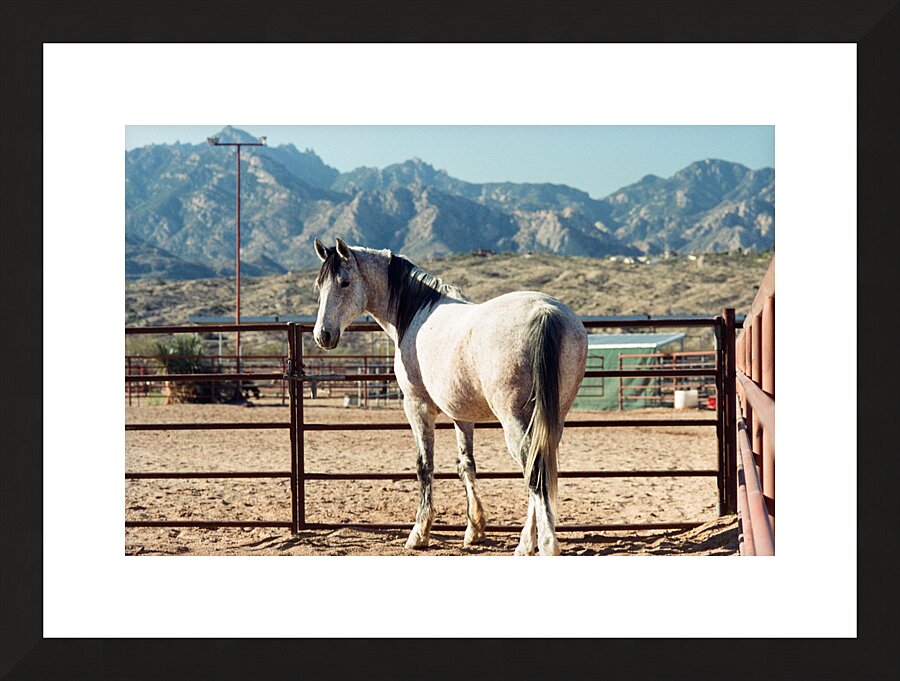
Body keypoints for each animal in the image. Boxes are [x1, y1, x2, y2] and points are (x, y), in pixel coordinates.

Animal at [312, 238, 588, 555]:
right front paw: (474, 530)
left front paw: (419, 533)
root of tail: (544, 312)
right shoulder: (462, 415)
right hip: (552, 419)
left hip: (515, 421)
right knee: (538, 466)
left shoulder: (416, 406)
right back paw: (525, 543)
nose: (323, 335)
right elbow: (466, 465)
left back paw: (544, 544)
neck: (415, 311)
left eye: (344, 282)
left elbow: (424, 466)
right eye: (319, 286)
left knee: (534, 473)